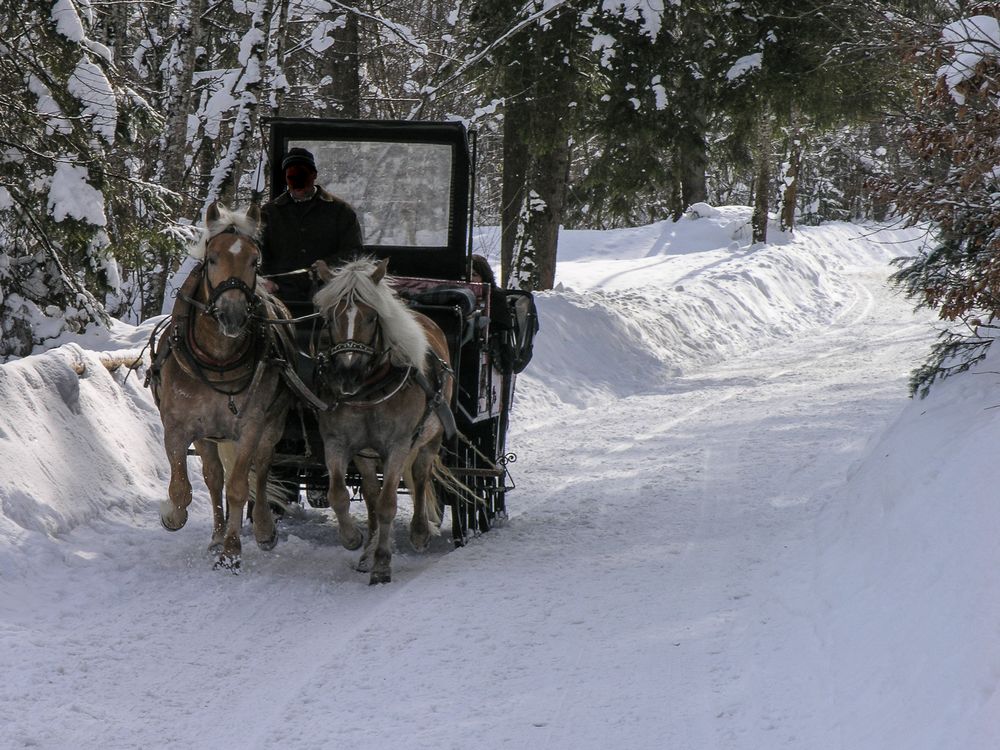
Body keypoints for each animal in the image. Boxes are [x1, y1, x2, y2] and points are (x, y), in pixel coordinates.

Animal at [148, 203, 294, 572]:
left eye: (255, 261)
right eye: (212, 258)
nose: (232, 315)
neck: (217, 362)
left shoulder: (250, 428)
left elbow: (239, 487)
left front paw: (232, 551)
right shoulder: (178, 426)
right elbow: (183, 488)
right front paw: (172, 516)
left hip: (271, 426)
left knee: (260, 473)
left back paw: (262, 529)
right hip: (208, 435)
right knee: (213, 478)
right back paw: (215, 537)